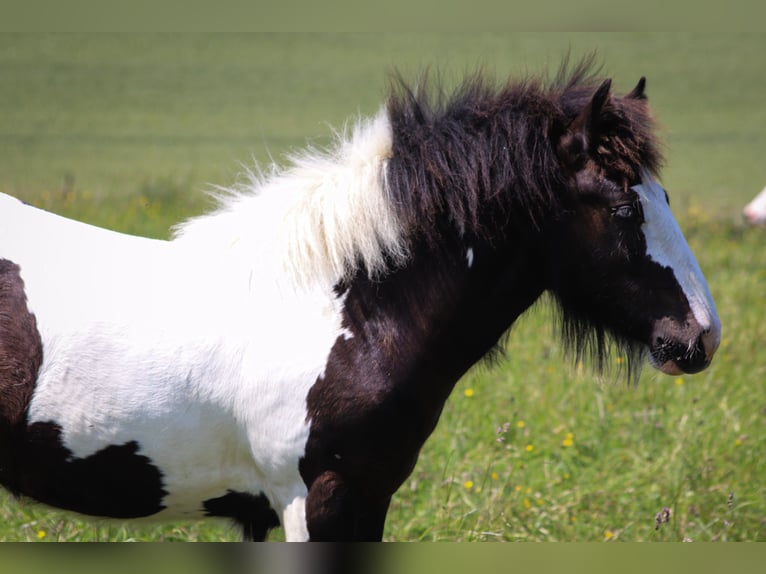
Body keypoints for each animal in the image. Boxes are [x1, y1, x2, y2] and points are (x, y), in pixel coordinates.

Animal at [0, 64, 720, 544]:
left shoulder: (357, 502)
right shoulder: (319, 503)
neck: (345, 315)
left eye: (666, 198)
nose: (700, 336)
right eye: (624, 207)